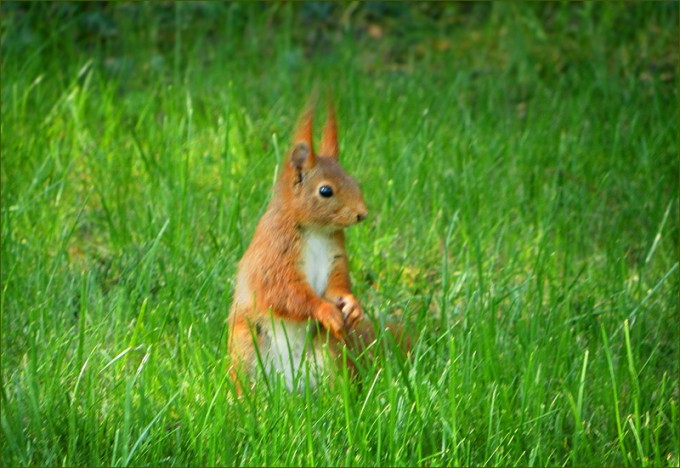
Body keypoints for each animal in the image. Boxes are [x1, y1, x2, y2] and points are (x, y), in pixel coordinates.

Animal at [227, 96, 376, 392]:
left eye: (354, 181)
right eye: (325, 191)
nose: (362, 214)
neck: (315, 231)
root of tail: (288, 387)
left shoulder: (335, 253)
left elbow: (337, 284)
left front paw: (352, 305)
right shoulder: (274, 252)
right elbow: (283, 292)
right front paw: (324, 310)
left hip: (330, 351)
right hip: (246, 344)